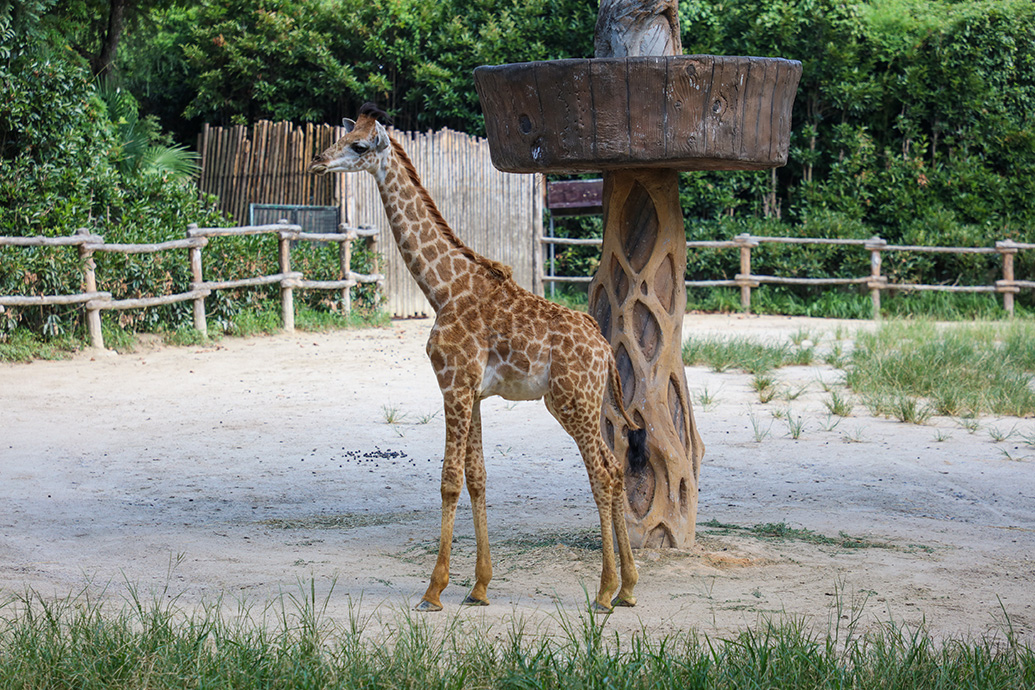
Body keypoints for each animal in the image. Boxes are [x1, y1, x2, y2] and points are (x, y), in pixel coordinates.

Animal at [308, 103, 645, 616]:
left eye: (359, 145)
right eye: (344, 137)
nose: (318, 162)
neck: (441, 289)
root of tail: (605, 349)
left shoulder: (452, 382)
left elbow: (449, 478)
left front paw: (433, 590)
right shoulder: (477, 392)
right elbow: (477, 477)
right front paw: (480, 586)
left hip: (570, 402)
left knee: (602, 472)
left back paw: (606, 590)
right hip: (588, 402)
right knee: (615, 467)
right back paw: (627, 587)